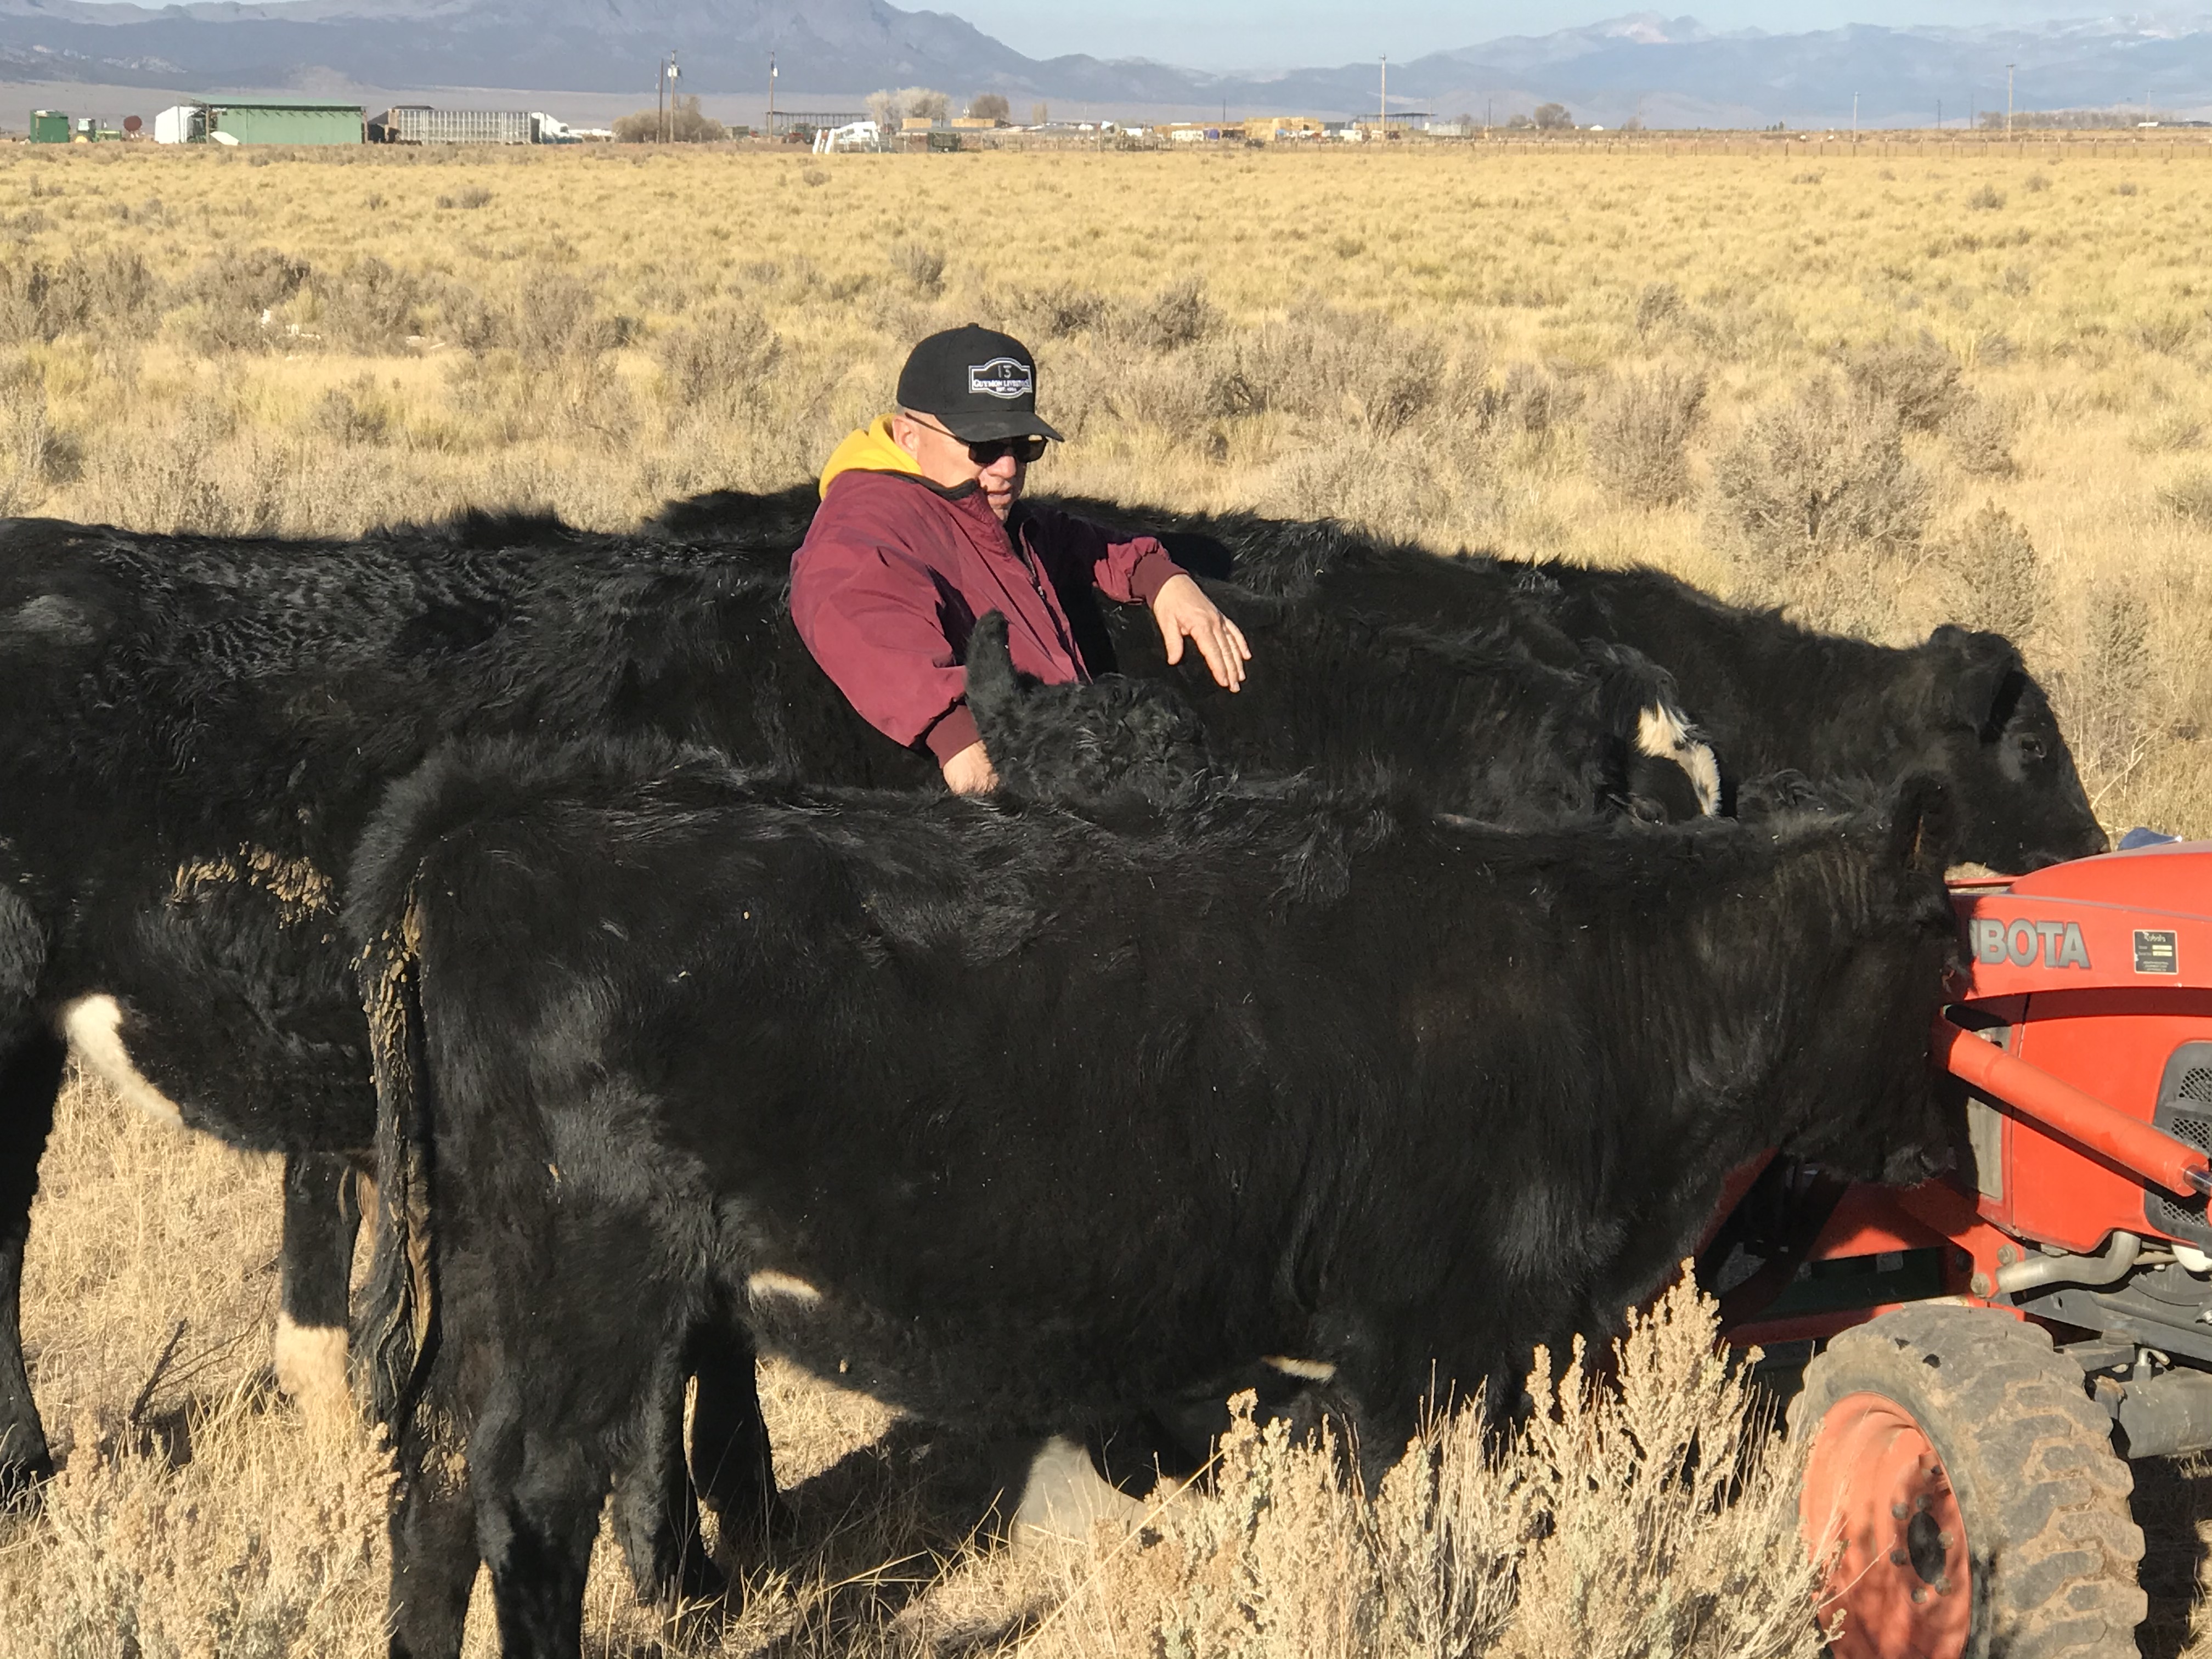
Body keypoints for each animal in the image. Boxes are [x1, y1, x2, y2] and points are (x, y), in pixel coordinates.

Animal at [347, 730, 1965, 1659]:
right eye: (1952, 966)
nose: (1953, 1154)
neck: (1604, 986)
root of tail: (485, 840)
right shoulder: (1420, 1351)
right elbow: (1413, 1545)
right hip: (588, 1285)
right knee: (526, 1505)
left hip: (493, 1286)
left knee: (430, 1488)